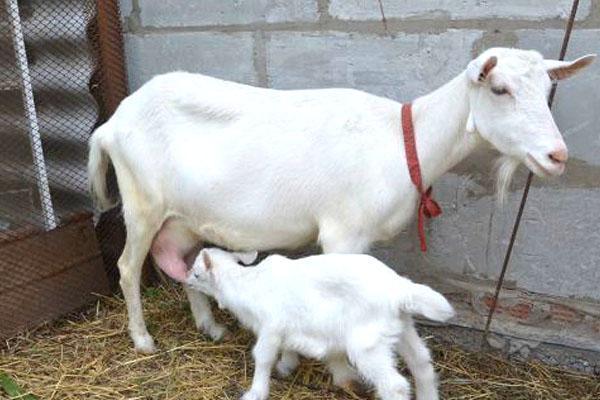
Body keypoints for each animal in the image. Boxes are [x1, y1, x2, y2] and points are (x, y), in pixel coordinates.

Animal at [88, 47, 596, 354]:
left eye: (547, 90)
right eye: (499, 89)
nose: (557, 155)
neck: (404, 142)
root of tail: (111, 124)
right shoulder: (343, 235)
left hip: (187, 216)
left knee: (184, 261)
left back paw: (209, 327)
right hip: (142, 203)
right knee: (128, 267)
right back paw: (143, 340)